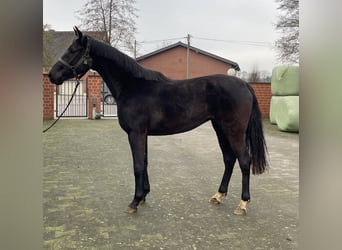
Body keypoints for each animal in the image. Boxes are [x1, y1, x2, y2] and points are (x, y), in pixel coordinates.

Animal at [48, 26, 268, 215]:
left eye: (73, 51)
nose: (52, 75)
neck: (133, 86)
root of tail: (244, 84)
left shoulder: (136, 133)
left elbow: (137, 165)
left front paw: (134, 202)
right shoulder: (142, 134)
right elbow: (144, 162)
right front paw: (144, 196)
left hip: (233, 130)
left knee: (244, 161)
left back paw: (242, 204)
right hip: (220, 128)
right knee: (229, 159)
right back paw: (218, 195)